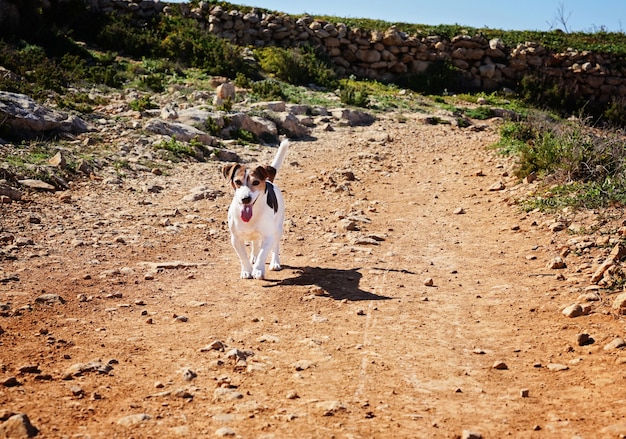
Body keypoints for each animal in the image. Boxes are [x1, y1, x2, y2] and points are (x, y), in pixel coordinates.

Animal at [222, 139, 290, 280]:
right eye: (237, 182)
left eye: (256, 182)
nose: (245, 199)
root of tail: (270, 181)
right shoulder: (235, 239)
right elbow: (243, 256)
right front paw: (247, 270)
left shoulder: (268, 236)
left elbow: (263, 255)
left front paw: (258, 270)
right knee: (254, 242)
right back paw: (254, 255)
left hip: (278, 228)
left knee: (275, 246)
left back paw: (275, 262)